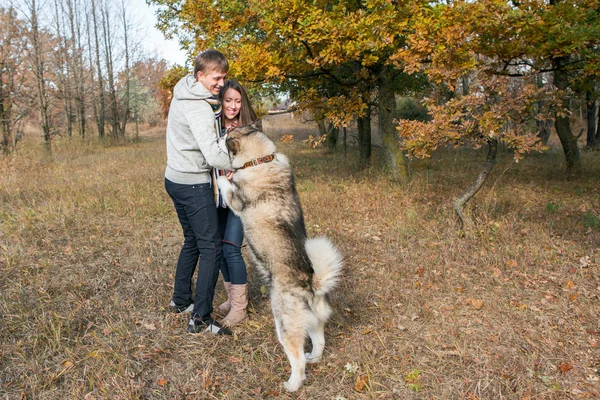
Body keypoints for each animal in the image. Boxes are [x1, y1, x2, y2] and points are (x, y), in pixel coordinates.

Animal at [218, 122, 344, 390]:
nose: (220, 132)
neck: (259, 160)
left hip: (285, 325)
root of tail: (311, 283)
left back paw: (293, 384)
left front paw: (224, 176)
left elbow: (227, 186)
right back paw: (315, 357)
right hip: (312, 321)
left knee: (298, 360)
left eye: (226, 136)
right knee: (319, 342)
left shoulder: (237, 202)